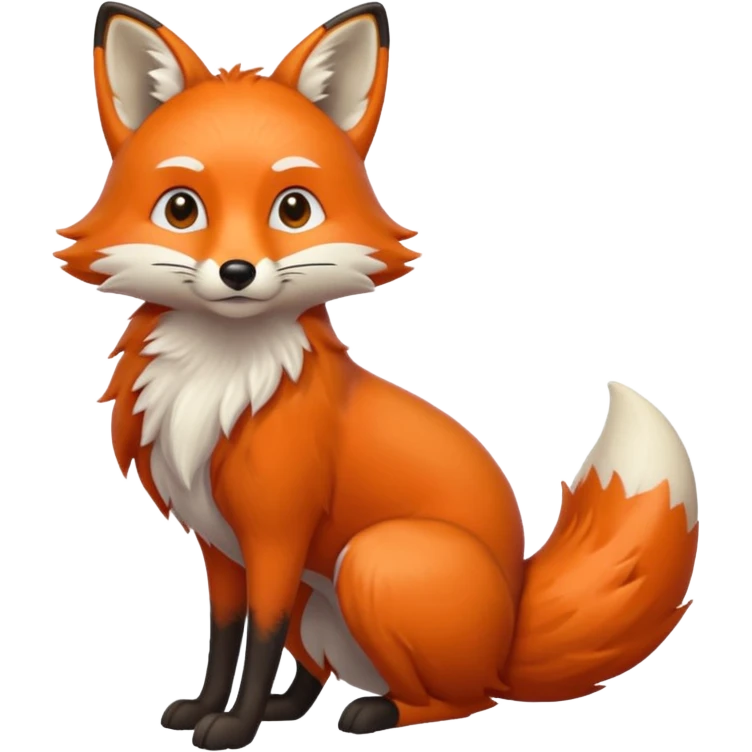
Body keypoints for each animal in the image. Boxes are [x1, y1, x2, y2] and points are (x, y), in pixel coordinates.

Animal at [54, 2, 700, 750]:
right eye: (182, 208)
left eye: (293, 208)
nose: (238, 273)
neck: (222, 380)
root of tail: (511, 628)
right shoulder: (221, 547)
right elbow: (226, 638)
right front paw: (208, 709)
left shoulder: (277, 534)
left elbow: (259, 638)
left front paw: (235, 726)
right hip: (321, 600)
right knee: (324, 669)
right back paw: (293, 707)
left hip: (373, 560)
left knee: (464, 698)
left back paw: (376, 713)